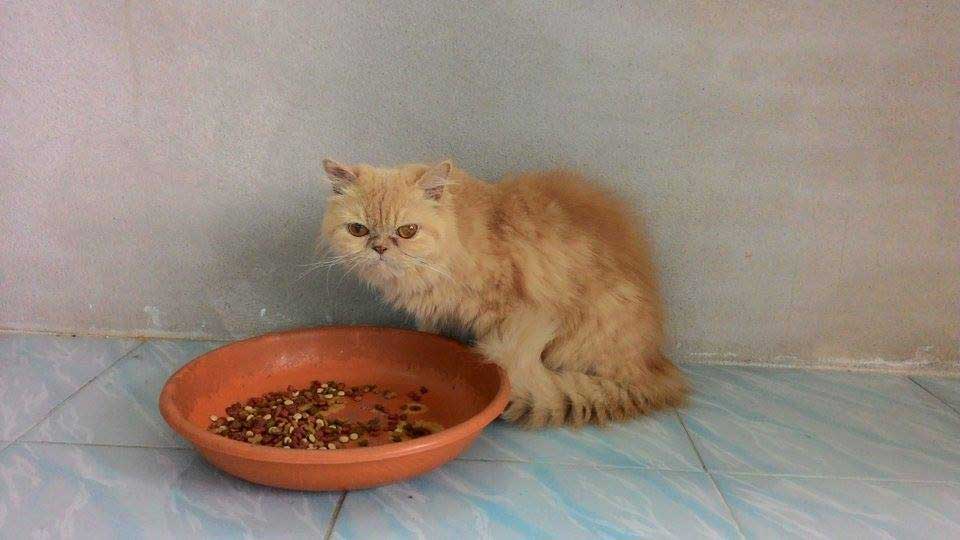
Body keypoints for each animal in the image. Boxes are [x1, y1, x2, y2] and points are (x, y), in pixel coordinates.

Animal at [319, 158, 687, 428]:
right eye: (358, 230)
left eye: (407, 231)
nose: (379, 248)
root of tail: (654, 368)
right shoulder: (433, 315)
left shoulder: (499, 311)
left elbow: (497, 366)